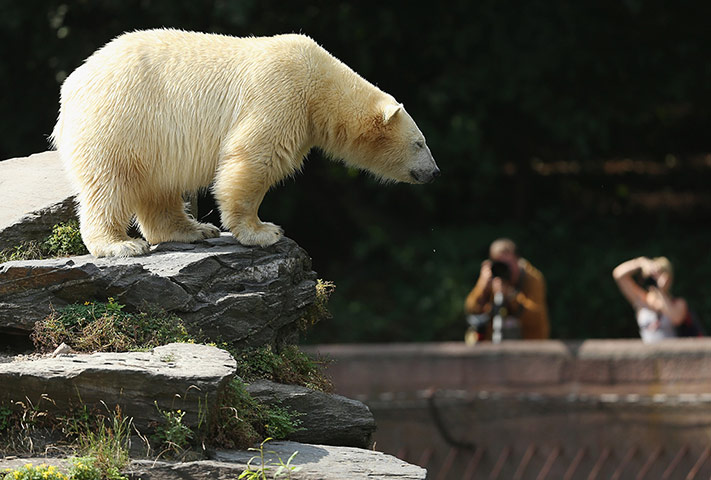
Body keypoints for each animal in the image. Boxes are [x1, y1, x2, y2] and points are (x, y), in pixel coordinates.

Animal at [51, 29, 439, 257]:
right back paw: (121, 244)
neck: (320, 82)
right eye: (420, 143)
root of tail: (71, 84)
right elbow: (255, 158)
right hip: (121, 120)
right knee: (109, 183)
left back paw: (192, 229)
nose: (435, 173)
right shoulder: (281, 93)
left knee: (158, 188)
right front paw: (264, 231)